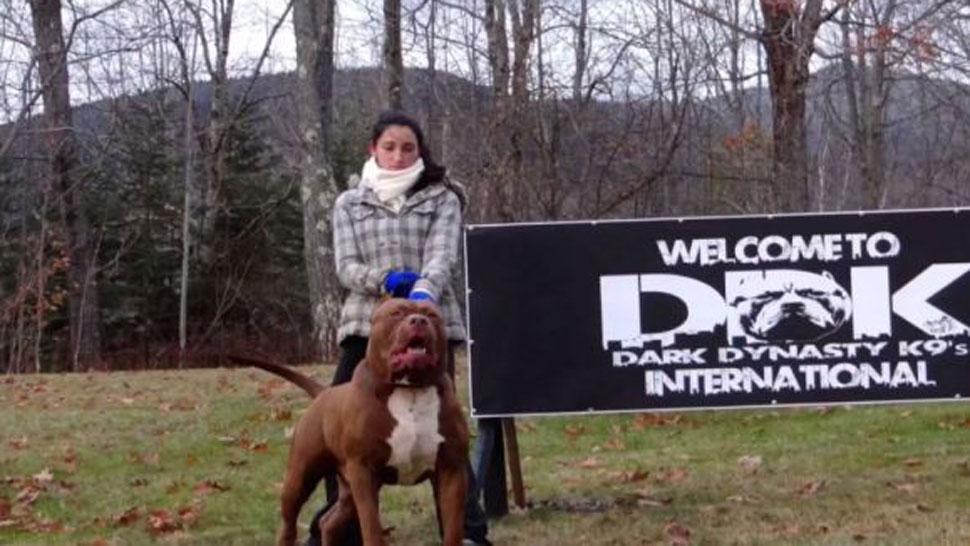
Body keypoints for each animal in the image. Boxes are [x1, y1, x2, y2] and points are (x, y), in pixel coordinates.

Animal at [230, 299, 469, 546]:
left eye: (432, 315)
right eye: (396, 313)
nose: (419, 321)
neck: (409, 390)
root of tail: (324, 392)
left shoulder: (451, 471)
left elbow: (453, 529)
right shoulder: (363, 472)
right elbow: (372, 528)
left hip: (347, 487)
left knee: (329, 522)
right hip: (300, 478)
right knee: (288, 523)